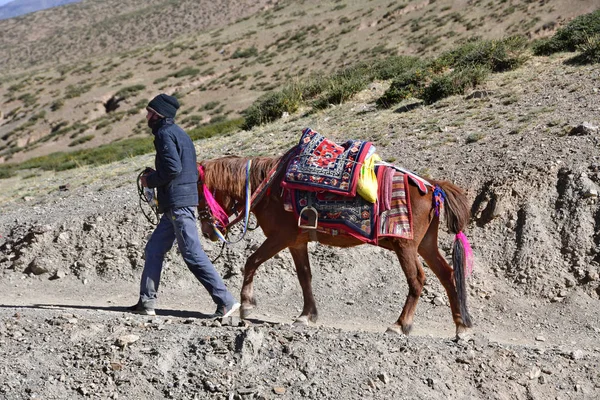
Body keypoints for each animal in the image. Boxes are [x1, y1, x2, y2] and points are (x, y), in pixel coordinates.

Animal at [197, 155, 474, 336]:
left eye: (200, 194)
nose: (208, 232)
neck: (269, 189)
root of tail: (432, 186)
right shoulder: (296, 242)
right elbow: (304, 277)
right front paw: (306, 316)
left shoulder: (280, 237)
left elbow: (251, 261)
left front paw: (245, 305)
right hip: (425, 245)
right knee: (448, 275)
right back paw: (461, 327)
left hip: (405, 245)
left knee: (417, 279)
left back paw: (399, 325)